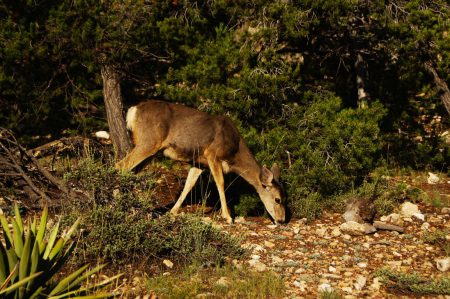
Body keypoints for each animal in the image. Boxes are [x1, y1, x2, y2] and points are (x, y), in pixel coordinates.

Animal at [115, 101, 284, 225]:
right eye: (278, 199)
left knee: (130, 171)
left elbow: (189, 185)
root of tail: (133, 110)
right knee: (120, 166)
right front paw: (228, 217)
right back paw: (117, 202)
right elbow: (221, 183)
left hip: (150, 149)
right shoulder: (212, 153)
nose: (282, 220)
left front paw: (173, 211)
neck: (235, 152)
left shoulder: (199, 163)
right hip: (148, 142)